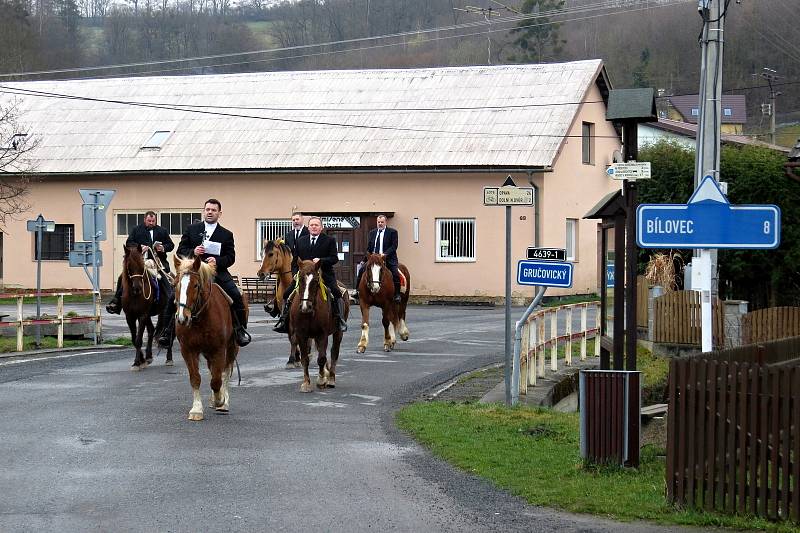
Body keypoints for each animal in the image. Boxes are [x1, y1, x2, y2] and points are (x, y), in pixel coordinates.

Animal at [173, 256, 248, 422]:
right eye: (176, 284)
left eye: (195, 285)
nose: (182, 318)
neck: (200, 318)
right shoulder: (188, 350)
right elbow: (195, 378)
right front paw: (196, 410)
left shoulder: (218, 349)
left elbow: (217, 380)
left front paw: (220, 400)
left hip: (232, 348)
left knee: (224, 372)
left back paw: (223, 402)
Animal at [256, 240, 300, 368]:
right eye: (261, 254)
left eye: (271, 254)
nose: (261, 274)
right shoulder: (285, 313)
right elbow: (290, 336)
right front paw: (294, 358)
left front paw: (294, 358)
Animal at [290, 258, 348, 390]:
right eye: (300, 279)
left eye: (316, 281)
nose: (306, 307)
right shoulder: (301, 334)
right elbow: (305, 358)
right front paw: (306, 383)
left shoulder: (323, 334)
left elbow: (321, 358)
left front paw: (321, 380)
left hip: (338, 332)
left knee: (334, 352)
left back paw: (330, 379)